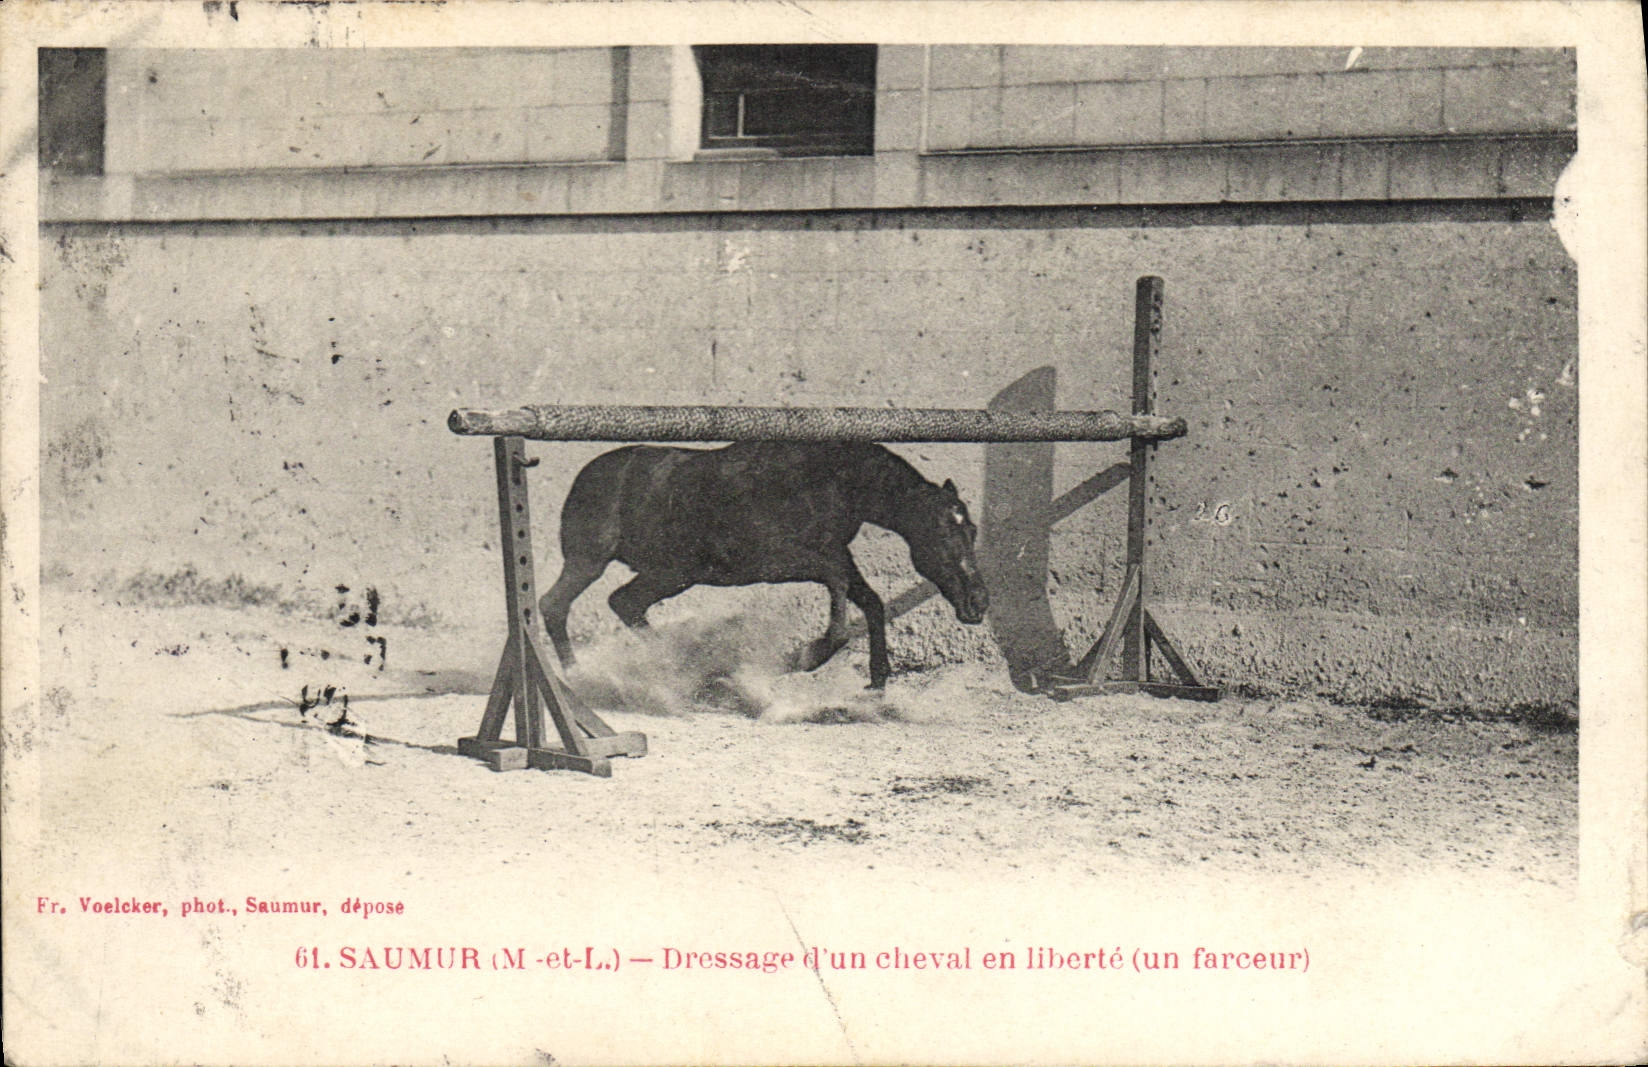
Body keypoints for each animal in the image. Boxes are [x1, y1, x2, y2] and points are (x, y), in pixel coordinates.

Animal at [538, 441, 990, 689]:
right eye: (943, 534)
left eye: (973, 531)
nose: (979, 603)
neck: (832, 482)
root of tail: (586, 476)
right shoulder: (781, 561)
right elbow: (839, 591)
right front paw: (811, 655)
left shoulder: (836, 554)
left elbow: (870, 602)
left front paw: (878, 683)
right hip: (598, 562)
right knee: (561, 604)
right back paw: (584, 677)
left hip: (670, 573)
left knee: (622, 603)